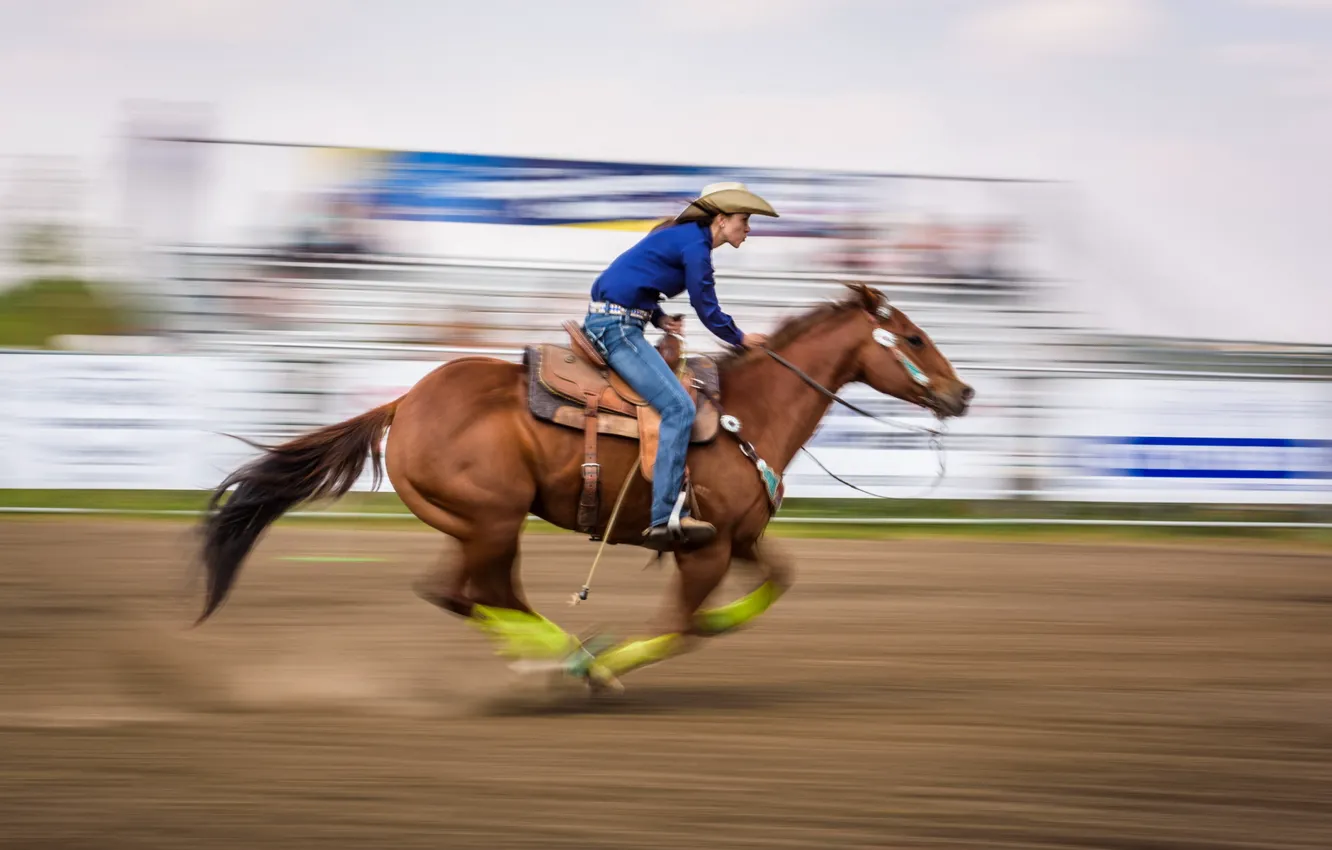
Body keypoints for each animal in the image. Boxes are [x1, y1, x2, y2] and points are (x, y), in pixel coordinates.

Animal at [196, 282, 973, 692]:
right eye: (913, 337)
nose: (962, 393)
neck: (750, 411)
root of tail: (404, 403)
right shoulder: (705, 549)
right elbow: (680, 628)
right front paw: (614, 664)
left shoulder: (740, 538)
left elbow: (773, 583)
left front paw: (713, 626)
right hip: (493, 521)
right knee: (484, 593)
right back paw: (574, 660)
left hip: (475, 525)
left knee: (462, 592)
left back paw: (556, 655)